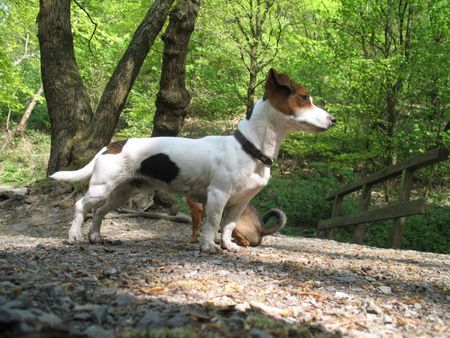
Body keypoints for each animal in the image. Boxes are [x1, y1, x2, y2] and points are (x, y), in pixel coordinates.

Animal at [51, 68, 336, 252]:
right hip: (100, 188)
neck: (250, 147)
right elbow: (212, 223)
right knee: (80, 206)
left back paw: (96, 237)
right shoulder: (218, 196)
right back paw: (75, 237)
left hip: (122, 192)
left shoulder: (239, 203)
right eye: (304, 97)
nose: (334, 119)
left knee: (99, 212)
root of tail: (110, 145)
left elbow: (228, 226)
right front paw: (208, 246)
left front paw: (228, 245)